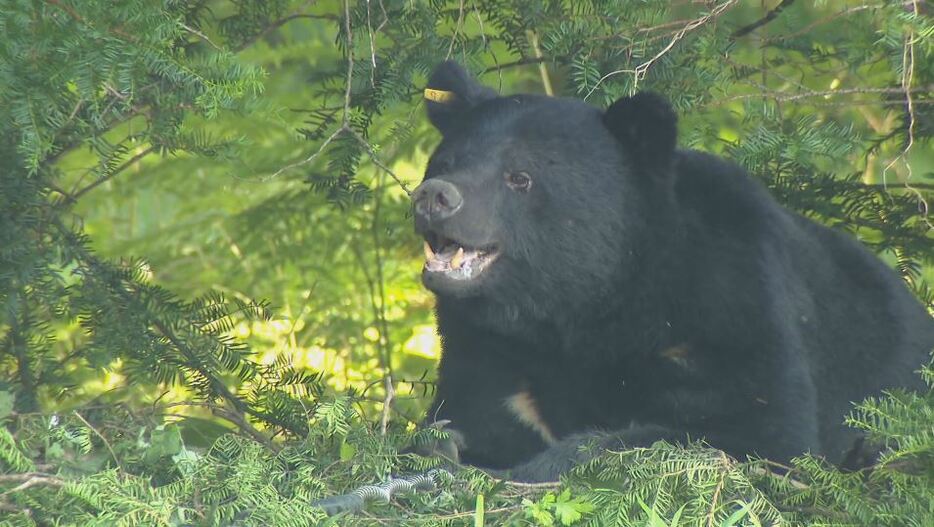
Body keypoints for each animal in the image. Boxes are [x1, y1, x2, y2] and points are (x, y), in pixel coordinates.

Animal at [414, 62, 934, 482]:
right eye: (447, 160)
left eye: (519, 177)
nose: (434, 196)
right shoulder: (489, 349)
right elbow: (470, 414)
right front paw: (447, 446)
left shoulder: (736, 300)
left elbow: (761, 431)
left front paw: (553, 460)